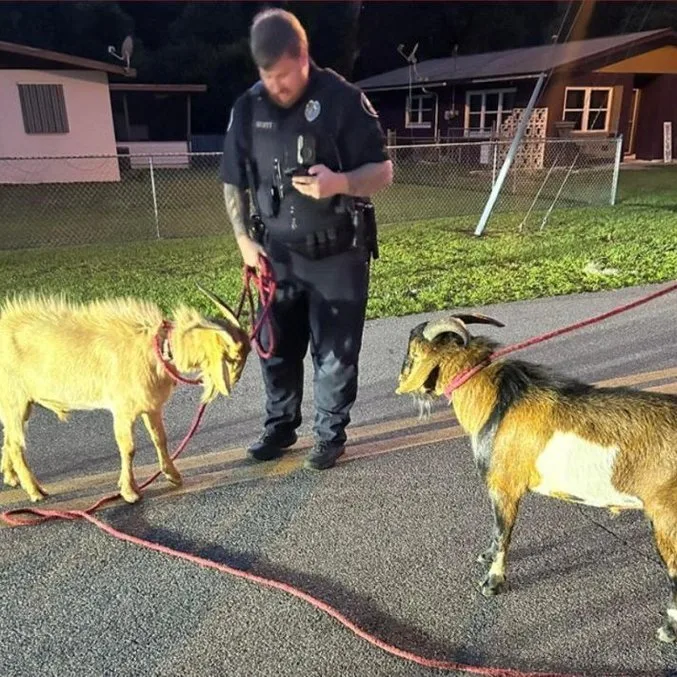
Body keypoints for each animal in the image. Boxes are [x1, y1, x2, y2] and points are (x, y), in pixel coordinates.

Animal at [0, 286, 248, 502]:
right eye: (233, 355)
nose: (236, 380)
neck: (155, 348)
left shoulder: (151, 406)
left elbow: (160, 439)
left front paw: (173, 475)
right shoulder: (123, 409)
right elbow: (128, 448)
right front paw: (129, 491)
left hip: (21, 403)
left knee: (9, 440)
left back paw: (12, 477)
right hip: (15, 399)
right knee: (16, 445)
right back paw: (35, 491)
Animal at [394, 314, 676, 640]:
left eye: (410, 352)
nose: (399, 381)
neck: (497, 401)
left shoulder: (504, 486)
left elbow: (503, 532)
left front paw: (492, 582)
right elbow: (496, 531)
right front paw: (486, 555)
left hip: (666, 516)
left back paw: (668, 630)